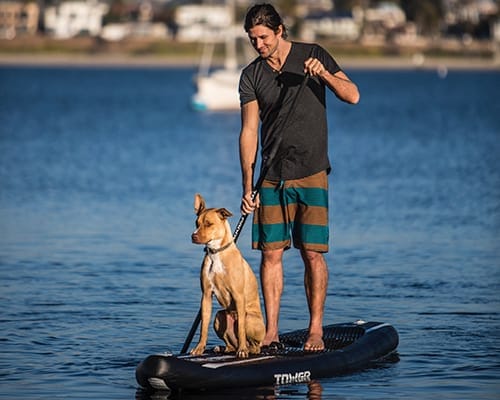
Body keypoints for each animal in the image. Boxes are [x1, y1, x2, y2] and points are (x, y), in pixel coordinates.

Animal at [189, 194, 266, 360]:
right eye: (196, 223)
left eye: (208, 223)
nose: (193, 236)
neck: (216, 252)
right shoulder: (206, 295)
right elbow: (203, 326)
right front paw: (199, 348)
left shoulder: (238, 295)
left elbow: (241, 328)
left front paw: (242, 350)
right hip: (220, 317)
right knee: (231, 342)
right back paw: (224, 348)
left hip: (249, 318)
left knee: (254, 344)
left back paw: (247, 349)